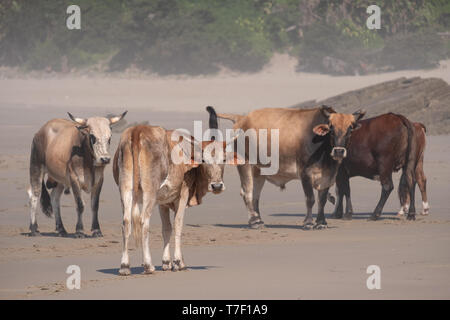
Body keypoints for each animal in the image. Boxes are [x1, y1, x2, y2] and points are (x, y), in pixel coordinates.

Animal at [112, 107, 237, 276]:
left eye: (224, 159)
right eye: (204, 160)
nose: (217, 186)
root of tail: (137, 131)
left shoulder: (162, 202)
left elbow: (167, 228)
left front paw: (166, 262)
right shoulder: (183, 194)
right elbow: (178, 224)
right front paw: (179, 262)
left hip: (126, 190)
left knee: (126, 222)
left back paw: (124, 266)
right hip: (149, 192)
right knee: (144, 221)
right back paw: (148, 265)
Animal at [215, 104, 366, 228]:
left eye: (350, 129)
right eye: (331, 129)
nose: (339, 151)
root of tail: (242, 119)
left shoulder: (328, 176)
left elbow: (322, 200)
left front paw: (321, 222)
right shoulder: (305, 173)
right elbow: (310, 199)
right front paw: (308, 222)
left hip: (258, 171)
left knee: (255, 195)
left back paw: (259, 220)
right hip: (245, 164)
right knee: (247, 192)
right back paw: (254, 222)